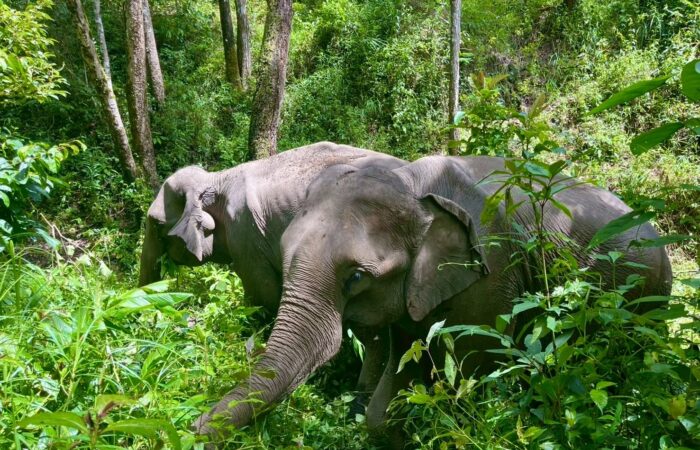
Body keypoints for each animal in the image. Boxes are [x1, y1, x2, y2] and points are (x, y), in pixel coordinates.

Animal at [193, 155, 672, 445]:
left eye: (357, 277)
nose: (193, 427)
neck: (412, 182)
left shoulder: (492, 276)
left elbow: (472, 369)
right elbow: (405, 359)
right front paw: (386, 425)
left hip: (639, 299)